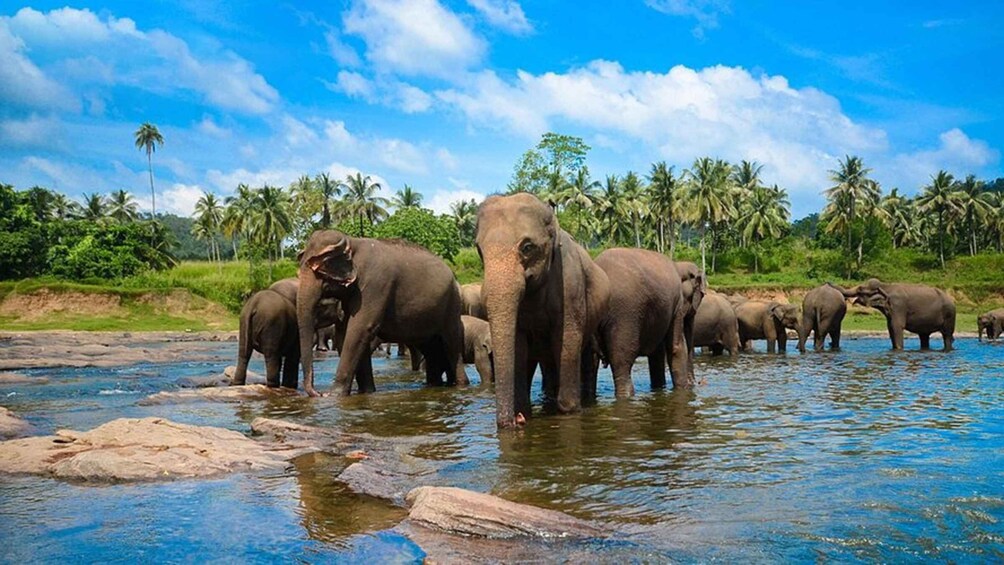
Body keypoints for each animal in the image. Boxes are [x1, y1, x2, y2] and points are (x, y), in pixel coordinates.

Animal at [296, 230, 467, 397]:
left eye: (320, 269)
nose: (318, 393)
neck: (352, 241)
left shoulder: (375, 284)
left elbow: (359, 329)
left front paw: (334, 395)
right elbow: (347, 333)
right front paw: (366, 391)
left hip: (452, 306)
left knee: (451, 344)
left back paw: (460, 384)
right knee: (431, 349)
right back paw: (435, 384)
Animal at [476, 193, 610, 428]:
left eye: (527, 247)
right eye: (479, 250)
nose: (516, 421)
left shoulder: (570, 285)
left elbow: (567, 340)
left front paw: (569, 411)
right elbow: (519, 347)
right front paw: (524, 412)